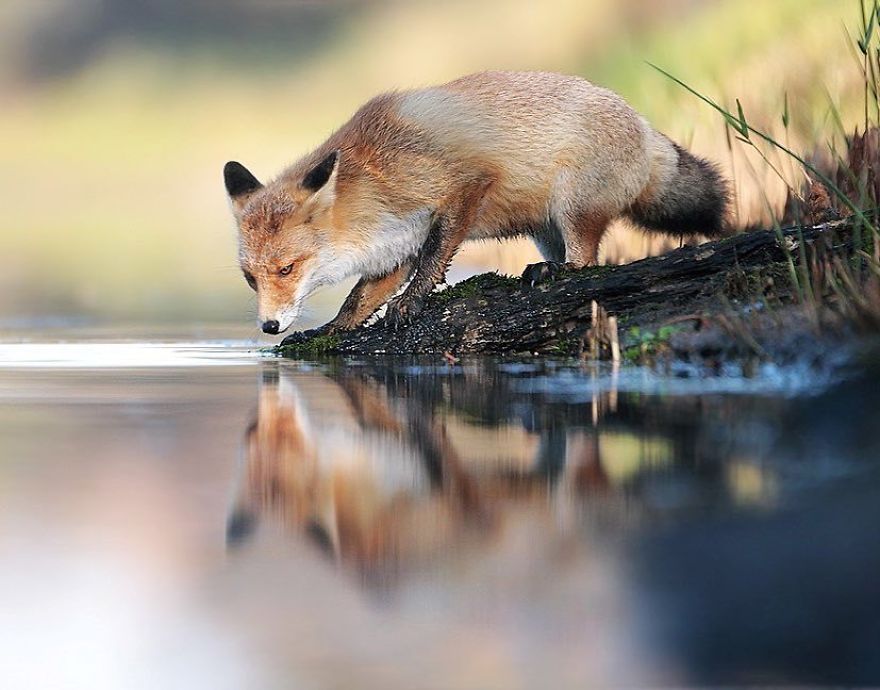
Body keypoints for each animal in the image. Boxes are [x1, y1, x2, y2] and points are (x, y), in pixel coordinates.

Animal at [225, 70, 728, 336]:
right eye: (251, 278)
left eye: (287, 269)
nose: (268, 328)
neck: (375, 181)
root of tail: (644, 126)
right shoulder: (394, 246)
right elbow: (360, 296)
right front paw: (335, 329)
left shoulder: (465, 185)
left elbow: (434, 260)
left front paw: (412, 304)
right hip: (545, 227)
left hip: (572, 207)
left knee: (588, 264)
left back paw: (556, 273)